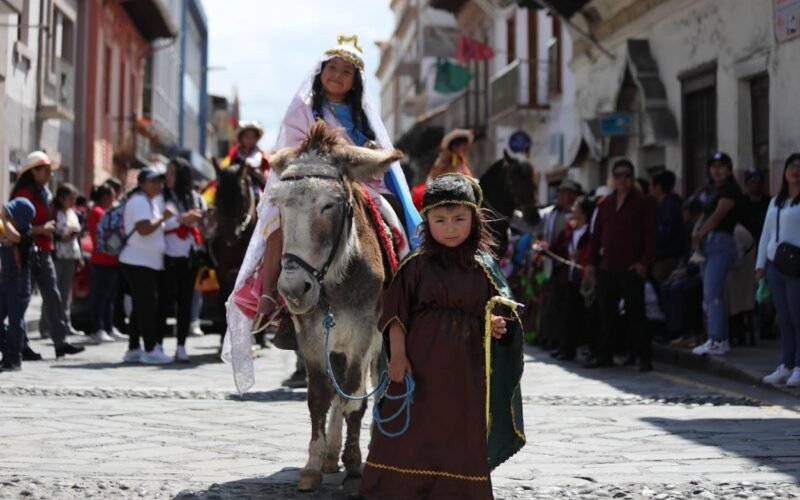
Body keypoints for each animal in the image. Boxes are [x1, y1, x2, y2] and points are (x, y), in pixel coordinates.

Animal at [268, 122, 404, 492]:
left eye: (330, 205)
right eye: (281, 206)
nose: (293, 289)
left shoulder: (362, 335)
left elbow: (354, 396)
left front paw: (355, 464)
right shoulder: (312, 338)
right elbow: (320, 395)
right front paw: (313, 465)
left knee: (370, 387)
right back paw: (331, 454)